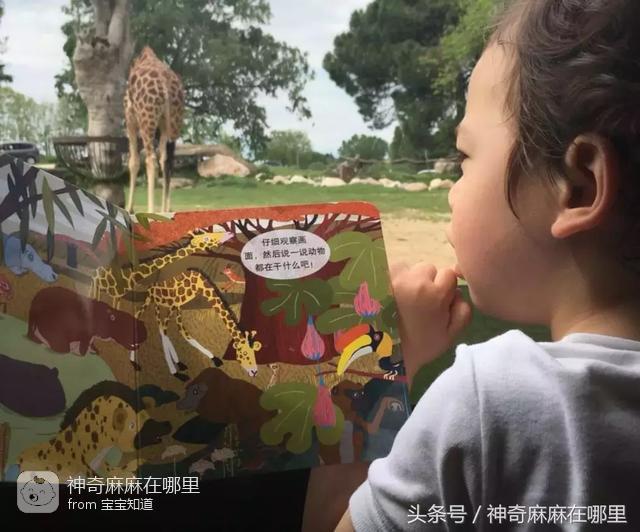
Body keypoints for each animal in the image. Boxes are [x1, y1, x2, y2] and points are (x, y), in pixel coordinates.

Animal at [124, 46, 185, 214]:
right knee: (166, 160)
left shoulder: (130, 121)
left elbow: (133, 162)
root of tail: (166, 85)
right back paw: (164, 210)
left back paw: (151, 211)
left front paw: (129, 208)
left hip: (147, 120)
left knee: (151, 160)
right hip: (171, 123)